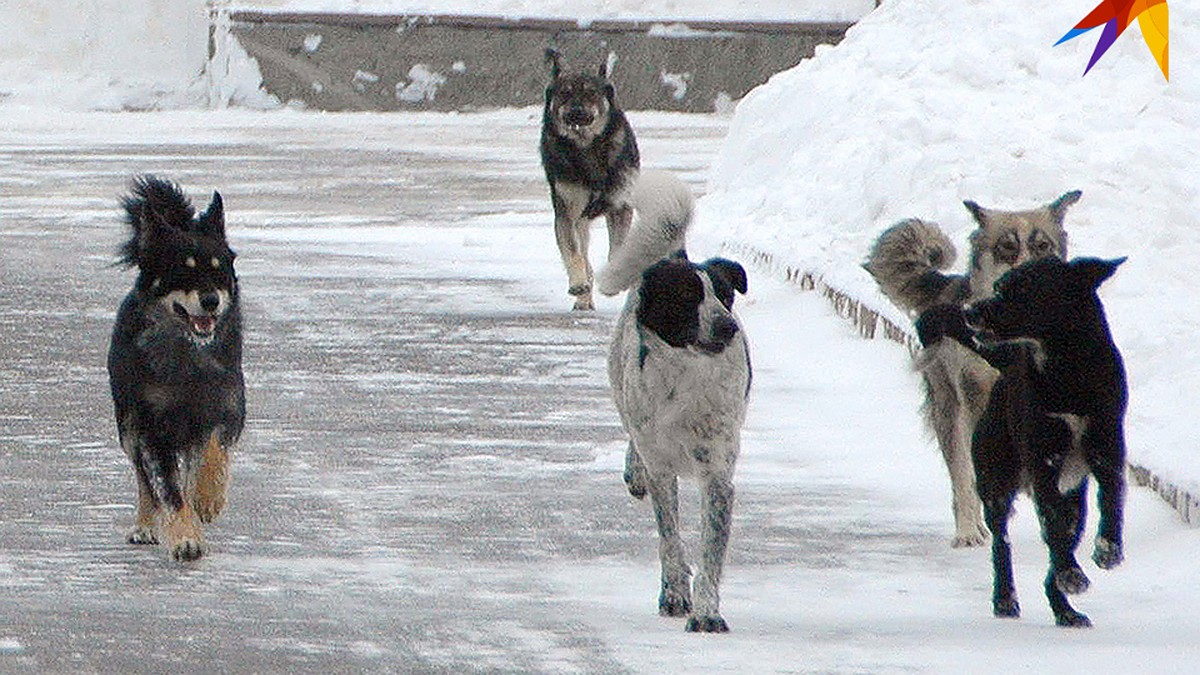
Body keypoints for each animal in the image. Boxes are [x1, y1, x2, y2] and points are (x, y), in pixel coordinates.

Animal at [108, 176, 246, 559]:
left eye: (219, 269)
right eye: (181, 270)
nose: (210, 300)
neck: (188, 355)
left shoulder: (226, 407)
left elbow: (213, 451)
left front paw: (208, 499)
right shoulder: (150, 428)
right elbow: (167, 489)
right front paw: (186, 538)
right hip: (128, 427)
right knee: (146, 481)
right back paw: (145, 525)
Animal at [542, 48, 643, 309]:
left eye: (590, 93)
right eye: (565, 93)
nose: (576, 112)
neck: (586, 146)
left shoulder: (620, 206)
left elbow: (617, 250)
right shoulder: (567, 213)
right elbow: (574, 254)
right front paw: (579, 285)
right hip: (580, 220)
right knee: (584, 256)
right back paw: (583, 297)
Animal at [600, 169, 748, 629]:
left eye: (725, 295)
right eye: (686, 297)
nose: (727, 327)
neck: (686, 378)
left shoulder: (717, 472)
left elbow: (711, 552)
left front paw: (707, 611)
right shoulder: (663, 467)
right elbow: (670, 539)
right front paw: (675, 593)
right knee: (632, 437)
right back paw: (633, 471)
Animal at [864, 187, 1089, 540]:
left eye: (1043, 246)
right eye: (1007, 248)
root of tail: (948, 287)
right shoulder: (976, 394)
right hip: (948, 404)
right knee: (961, 471)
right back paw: (969, 529)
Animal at [916, 253, 1123, 624]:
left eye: (1023, 289)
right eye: (998, 285)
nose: (970, 311)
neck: (1067, 371)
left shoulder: (1108, 447)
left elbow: (1111, 500)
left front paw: (1108, 549)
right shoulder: (1044, 462)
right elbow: (1052, 529)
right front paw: (1072, 572)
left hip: (1073, 499)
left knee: (1061, 542)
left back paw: (1065, 610)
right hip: (995, 481)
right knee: (1004, 545)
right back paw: (1006, 599)